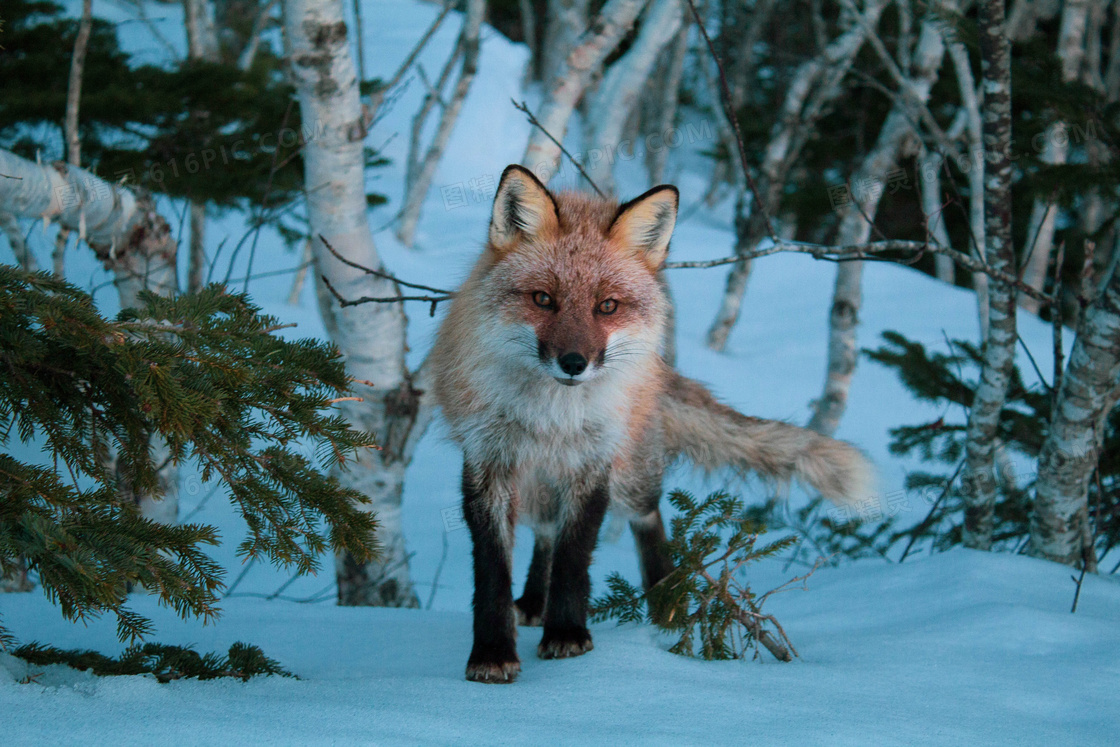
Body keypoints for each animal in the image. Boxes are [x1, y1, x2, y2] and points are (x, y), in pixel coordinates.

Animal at [427, 166, 873, 685]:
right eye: (543, 299)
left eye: (607, 306)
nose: (574, 363)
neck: (551, 416)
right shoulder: (489, 462)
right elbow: (493, 571)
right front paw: (493, 652)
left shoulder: (594, 462)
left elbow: (575, 558)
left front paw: (568, 634)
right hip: (537, 487)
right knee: (546, 533)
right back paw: (536, 602)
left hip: (627, 475)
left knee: (646, 515)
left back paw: (665, 604)